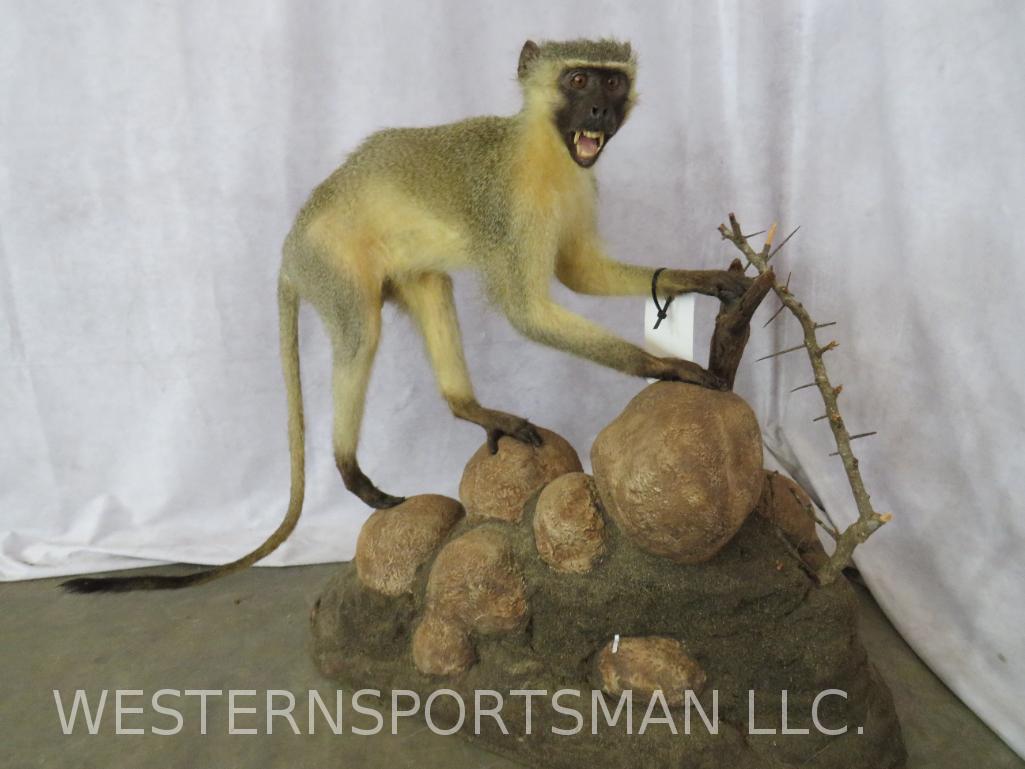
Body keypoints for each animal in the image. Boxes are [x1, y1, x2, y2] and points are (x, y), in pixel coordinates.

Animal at [61, 38, 750, 594]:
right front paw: (668, 367)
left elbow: (576, 272)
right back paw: (348, 467)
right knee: (358, 337)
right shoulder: (509, 207)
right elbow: (527, 309)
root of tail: (290, 248)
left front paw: (700, 279)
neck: (543, 151)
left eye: (612, 82)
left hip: (400, 271)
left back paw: (469, 408)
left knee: (432, 289)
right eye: (578, 80)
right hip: (332, 264)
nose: (601, 114)